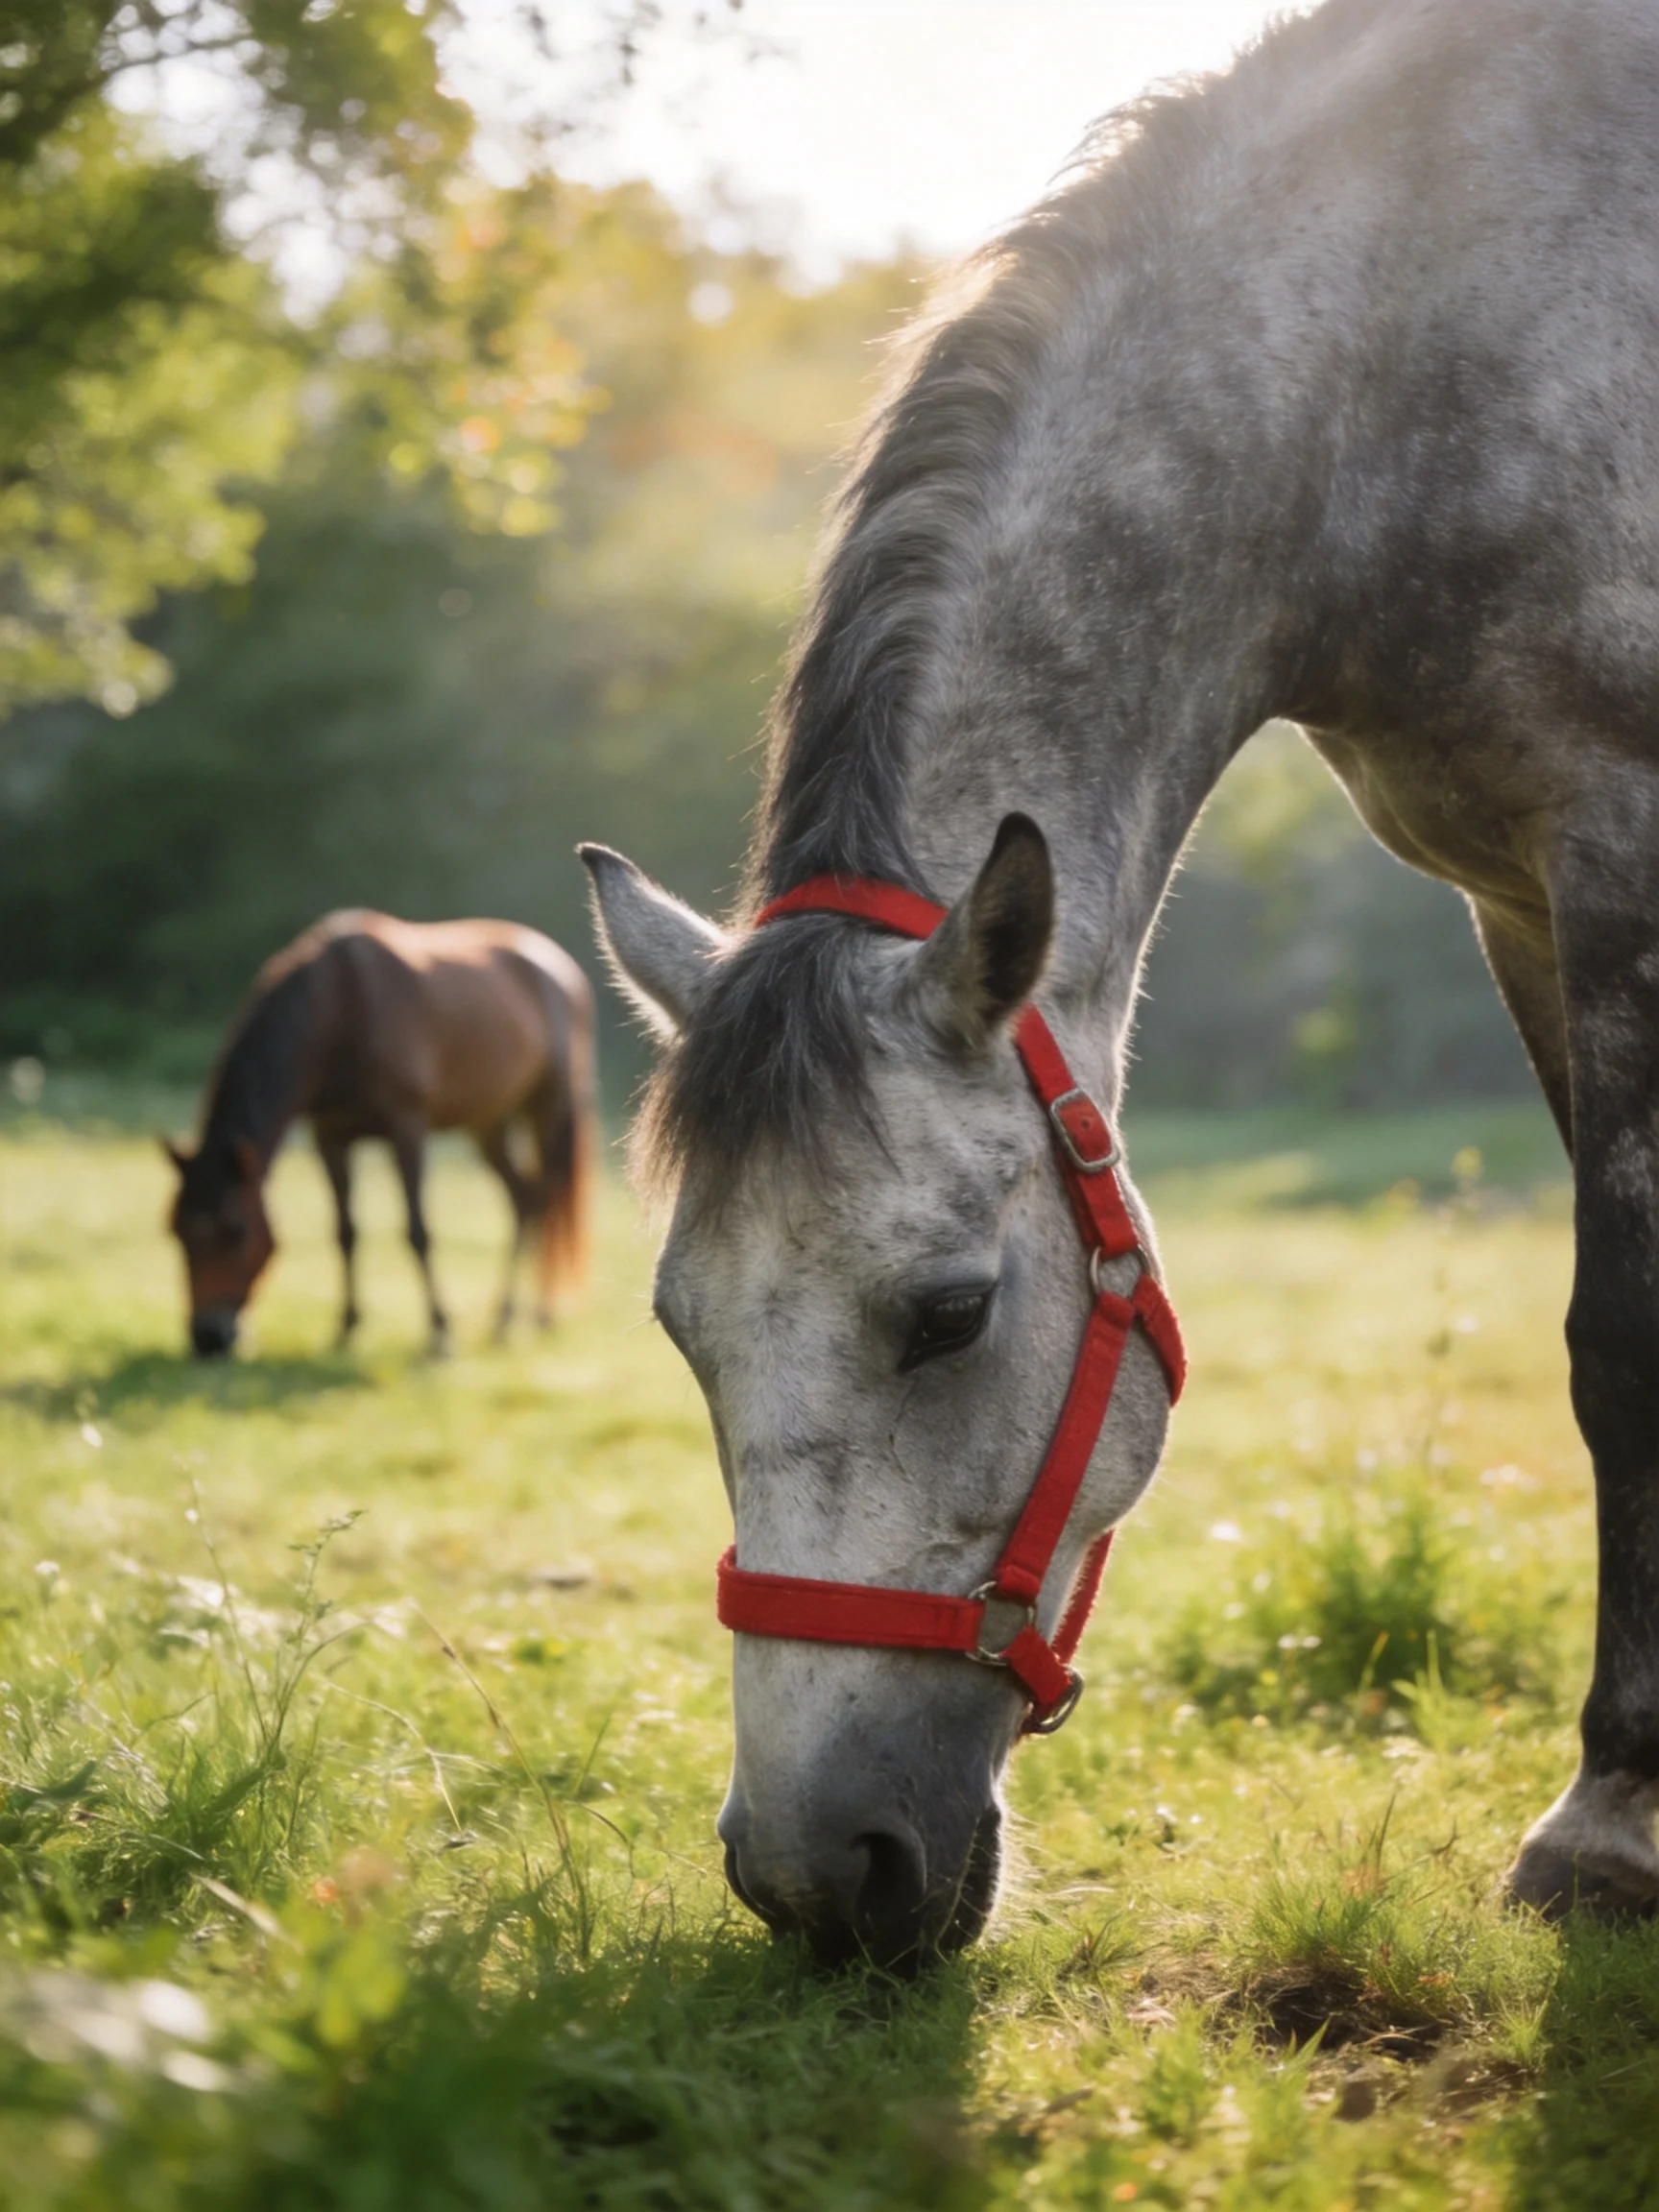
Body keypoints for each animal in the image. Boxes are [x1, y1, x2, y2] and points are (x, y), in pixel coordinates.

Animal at [164, 911, 595, 1358]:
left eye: (235, 1231)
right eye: (175, 1230)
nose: (208, 1337)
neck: (340, 1007)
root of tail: (561, 967)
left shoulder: (406, 1126)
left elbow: (417, 1230)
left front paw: (440, 1332)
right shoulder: (330, 1137)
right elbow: (345, 1232)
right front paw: (346, 1327)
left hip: (549, 1108)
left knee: (549, 1195)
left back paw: (540, 1314)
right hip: (488, 1122)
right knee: (525, 1198)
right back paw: (505, 1319)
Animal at [581, 0, 1659, 1969]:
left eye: (947, 1314)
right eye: (681, 1326)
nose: (812, 1879)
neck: (1413, 328)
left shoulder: (1617, 845)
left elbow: (1618, 1336)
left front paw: (1608, 1820)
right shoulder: (1519, 904)